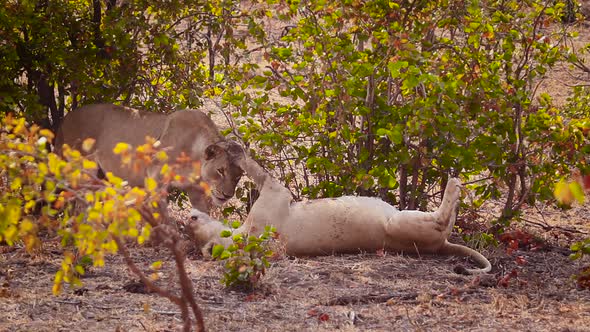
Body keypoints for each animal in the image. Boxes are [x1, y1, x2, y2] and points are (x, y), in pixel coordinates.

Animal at [191, 157, 494, 274]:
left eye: (191, 230)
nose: (189, 218)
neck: (243, 236)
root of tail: (442, 248)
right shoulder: (276, 192)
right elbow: (254, 166)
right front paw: (233, 149)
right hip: (399, 222)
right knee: (443, 220)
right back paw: (455, 184)